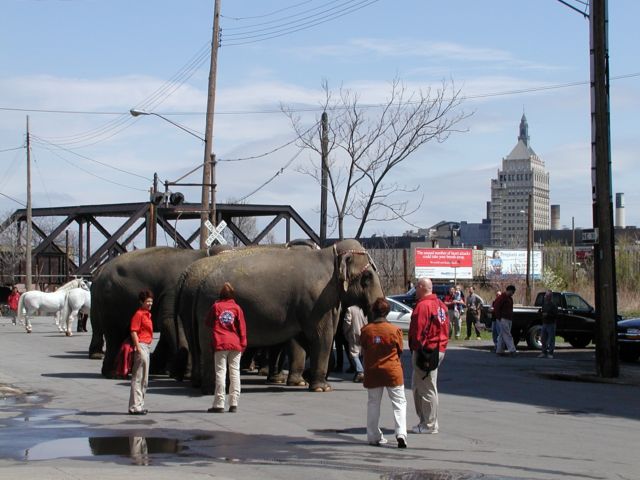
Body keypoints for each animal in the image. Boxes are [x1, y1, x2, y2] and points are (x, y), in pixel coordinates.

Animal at [89, 248, 230, 378]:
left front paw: (162, 370)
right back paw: (111, 372)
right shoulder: (173, 289)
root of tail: (100, 271)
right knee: (114, 333)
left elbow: (167, 329)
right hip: (110, 300)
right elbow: (169, 321)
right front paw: (183, 373)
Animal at [175, 238, 382, 392]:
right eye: (367, 277)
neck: (328, 254)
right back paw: (215, 389)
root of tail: (201, 284)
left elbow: (303, 338)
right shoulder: (315, 300)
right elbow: (321, 336)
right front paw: (322, 388)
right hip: (210, 308)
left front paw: (304, 382)